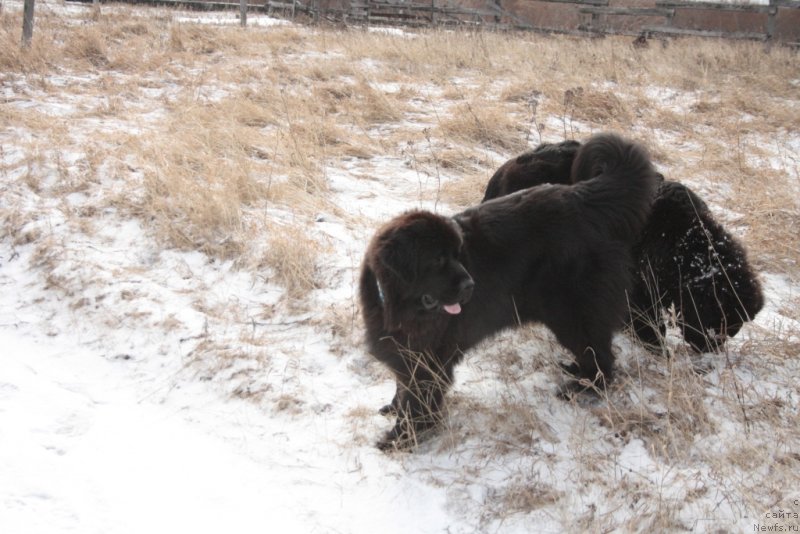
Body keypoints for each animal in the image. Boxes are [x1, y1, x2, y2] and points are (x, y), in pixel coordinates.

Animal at [360, 134, 660, 452]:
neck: (397, 304)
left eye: (457, 254)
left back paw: (582, 388)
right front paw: (394, 409)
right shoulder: (403, 351)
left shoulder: (429, 360)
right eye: (438, 260)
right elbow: (403, 387)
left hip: (573, 315)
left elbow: (418, 401)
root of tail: (584, 199)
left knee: (602, 358)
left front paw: (401, 438)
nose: (470, 286)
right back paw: (575, 372)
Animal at [484, 140, 764, 356]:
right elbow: (650, 326)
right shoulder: (639, 289)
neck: (681, 241)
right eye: (719, 317)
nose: (710, 349)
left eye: (734, 327)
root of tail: (507, 168)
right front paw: (659, 351)